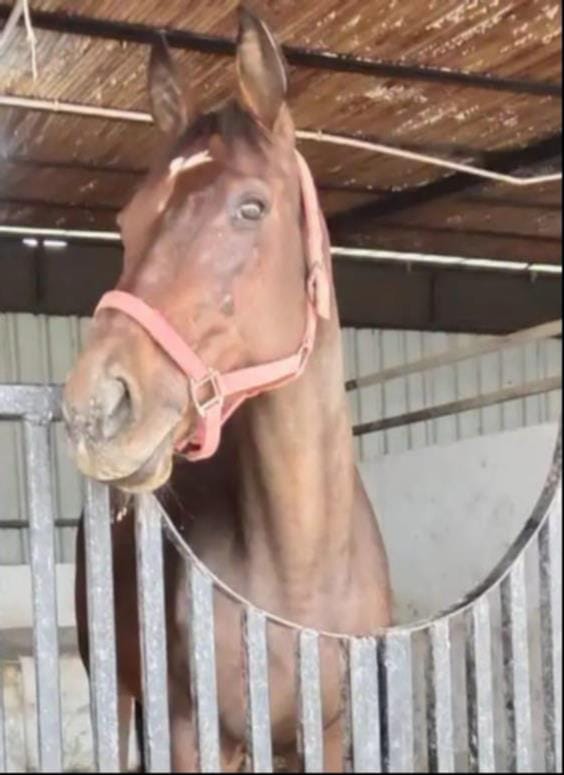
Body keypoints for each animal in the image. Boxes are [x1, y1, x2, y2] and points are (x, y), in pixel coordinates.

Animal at [62, 5, 392, 771]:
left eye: (250, 207)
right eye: (126, 222)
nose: (96, 407)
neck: (302, 567)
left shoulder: (329, 736)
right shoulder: (195, 733)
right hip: (118, 690)